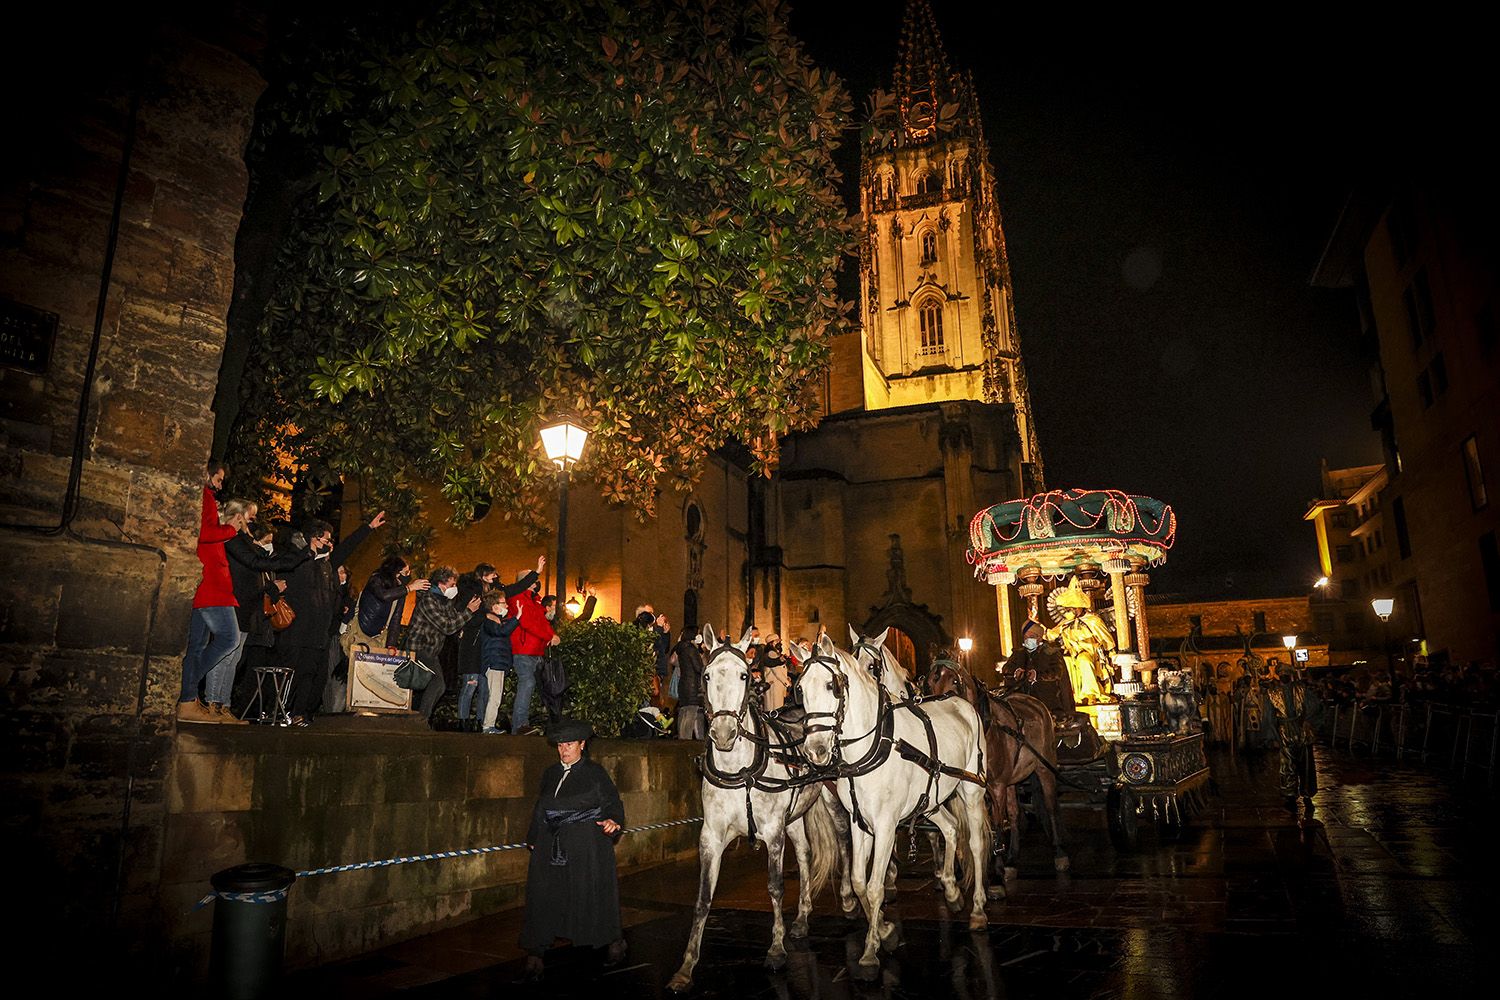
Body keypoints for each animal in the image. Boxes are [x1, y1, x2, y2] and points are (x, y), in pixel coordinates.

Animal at [672, 629, 858, 989]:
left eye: (744, 675)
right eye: (707, 675)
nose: (723, 733)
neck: (741, 770)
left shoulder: (772, 833)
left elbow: (775, 886)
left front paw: (776, 949)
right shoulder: (711, 836)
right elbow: (703, 897)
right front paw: (686, 965)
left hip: (830, 799)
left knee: (843, 839)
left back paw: (846, 899)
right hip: (794, 817)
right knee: (805, 854)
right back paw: (802, 918)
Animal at [792, 632, 990, 977]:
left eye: (833, 685)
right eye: (800, 689)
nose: (815, 750)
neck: (869, 749)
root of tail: (960, 701)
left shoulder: (885, 825)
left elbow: (874, 887)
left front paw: (871, 951)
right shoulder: (859, 822)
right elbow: (859, 880)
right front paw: (885, 931)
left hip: (971, 788)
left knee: (976, 844)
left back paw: (978, 909)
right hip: (930, 800)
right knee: (951, 829)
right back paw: (952, 891)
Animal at [918, 656, 1074, 893]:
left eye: (955, 682)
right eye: (929, 683)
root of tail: (1032, 700)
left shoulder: (996, 786)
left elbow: (997, 824)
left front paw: (996, 874)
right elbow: (961, 826)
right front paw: (959, 871)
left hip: (1044, 768)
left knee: (1050, 806)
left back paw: (1059, 853)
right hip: (1012, 780)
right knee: (1015, 813)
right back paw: (1012, 858)